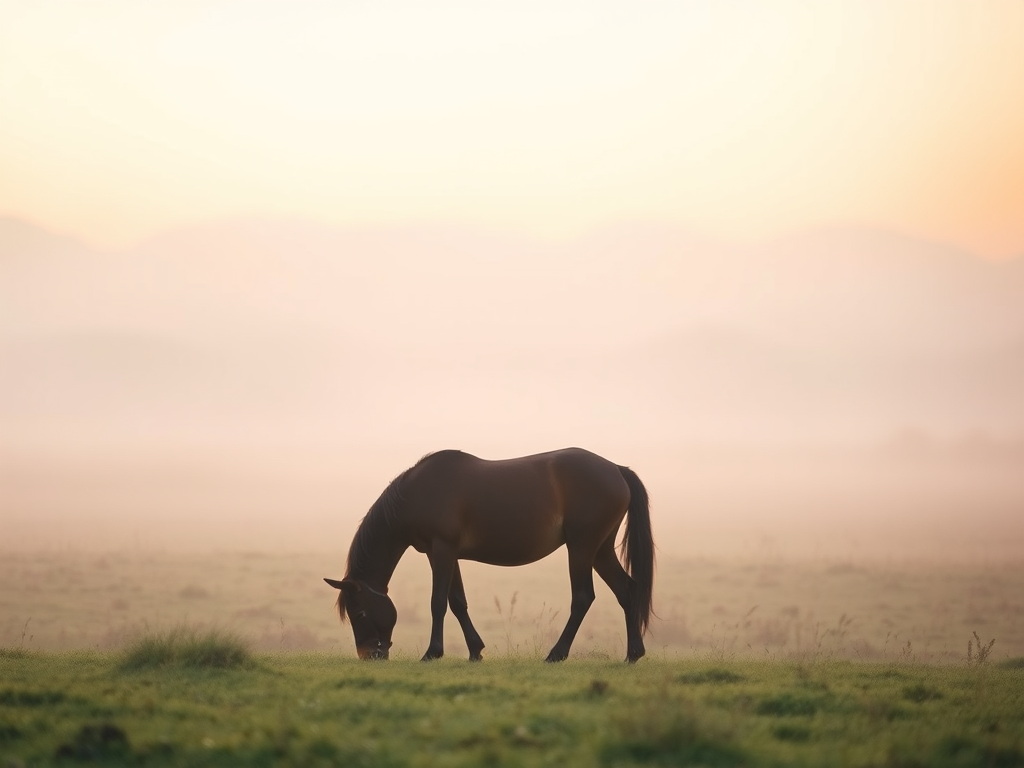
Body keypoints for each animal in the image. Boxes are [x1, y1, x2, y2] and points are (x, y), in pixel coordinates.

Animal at [324, 447, 654, 662]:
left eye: (360, 612)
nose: (369, 655)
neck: (416, 494)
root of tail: (616, 469)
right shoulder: (447, 554)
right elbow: (457, 602)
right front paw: (475, 651)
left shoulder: (440, 551)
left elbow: (438, 603)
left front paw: (432, 653)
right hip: (600, 550)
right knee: (627, 590)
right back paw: (633, 654)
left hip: (582, 548)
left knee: (583, 597)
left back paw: (557, 654)